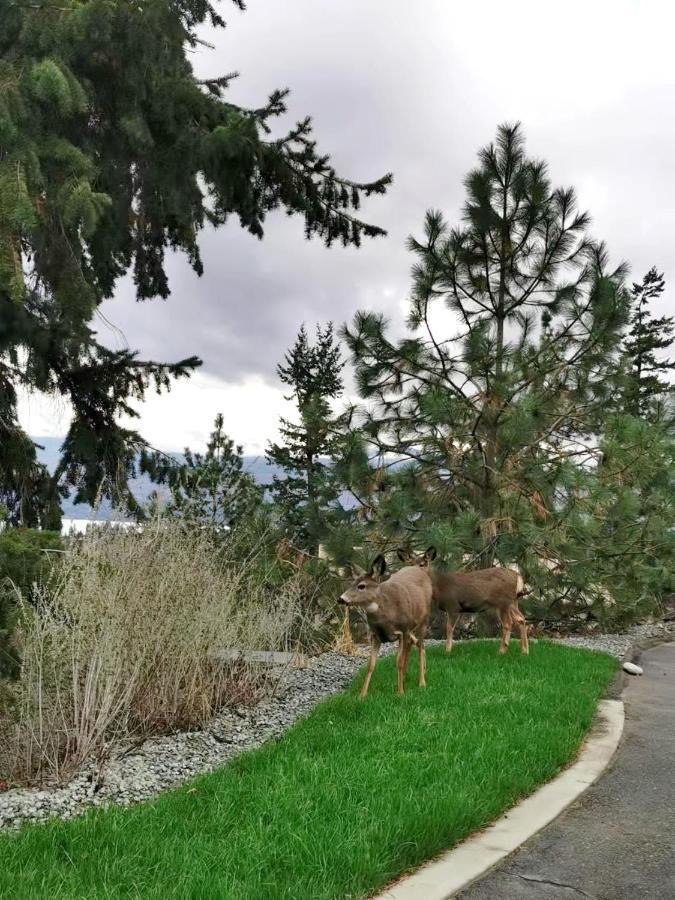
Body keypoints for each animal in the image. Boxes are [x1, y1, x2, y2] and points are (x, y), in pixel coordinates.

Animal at [338, 556, 434, 696]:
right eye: (352, 583)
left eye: (362, 586)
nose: (341, 599)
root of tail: (418, 569)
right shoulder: (375, 635)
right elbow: (371, 665)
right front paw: (362, 695)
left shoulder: (403, 630)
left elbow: (399, 662)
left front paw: (400, 693)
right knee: (413, 643)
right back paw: (404, 679)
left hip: (424, 619)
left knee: (421, 645)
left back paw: (422, 682)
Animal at [398, 544, 532, 656]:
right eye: (409, 563)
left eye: (423, 564)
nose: (413, 573)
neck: (439, 587)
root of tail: (517, 576)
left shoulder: (453, 606)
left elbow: (449, 628)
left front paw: (447, 651)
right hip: (513, 601)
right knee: (521, 619)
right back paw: (524, 651)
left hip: (503, 602)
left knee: (508, 623)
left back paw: (502, 651)